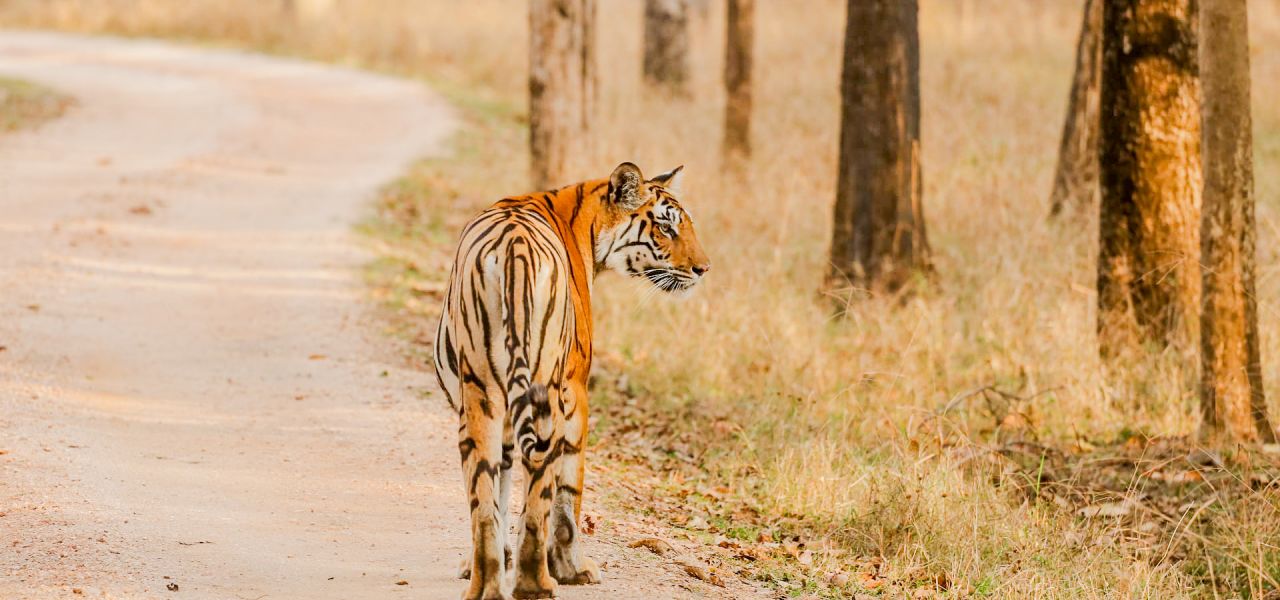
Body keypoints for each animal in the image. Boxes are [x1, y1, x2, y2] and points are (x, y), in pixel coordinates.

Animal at [430, 161, 711, 596]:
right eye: (667, 228)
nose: (703, 268)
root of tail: (514, 248)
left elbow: (501, 490)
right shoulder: (577, 389)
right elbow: (569, 494)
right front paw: (574, 568)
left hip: (481, 395)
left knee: (483, 498)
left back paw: (487, 584)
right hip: (548, 392)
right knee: (541, 492)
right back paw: (538, 582)